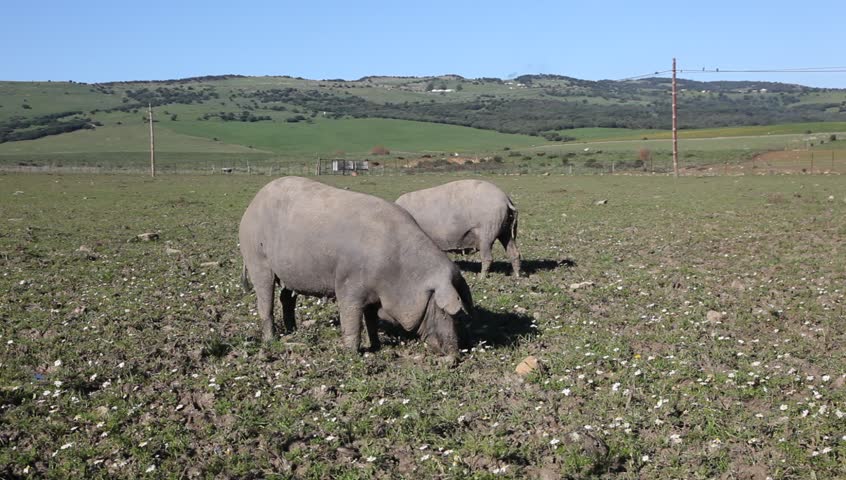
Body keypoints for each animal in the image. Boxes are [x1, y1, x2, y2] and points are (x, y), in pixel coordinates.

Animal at [238, 177, 473, 358]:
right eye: (444, 311)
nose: (455, 355)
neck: (399, 272)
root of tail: (251, 205)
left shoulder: (373, 295)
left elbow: (370, 319)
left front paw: (376, 346)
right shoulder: (348, 284)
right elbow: (352, 319)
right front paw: (351, 354)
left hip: (289, 272)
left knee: (286, 298)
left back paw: (293, 330)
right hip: (257, 260)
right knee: (265, 302)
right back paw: (271, 340)